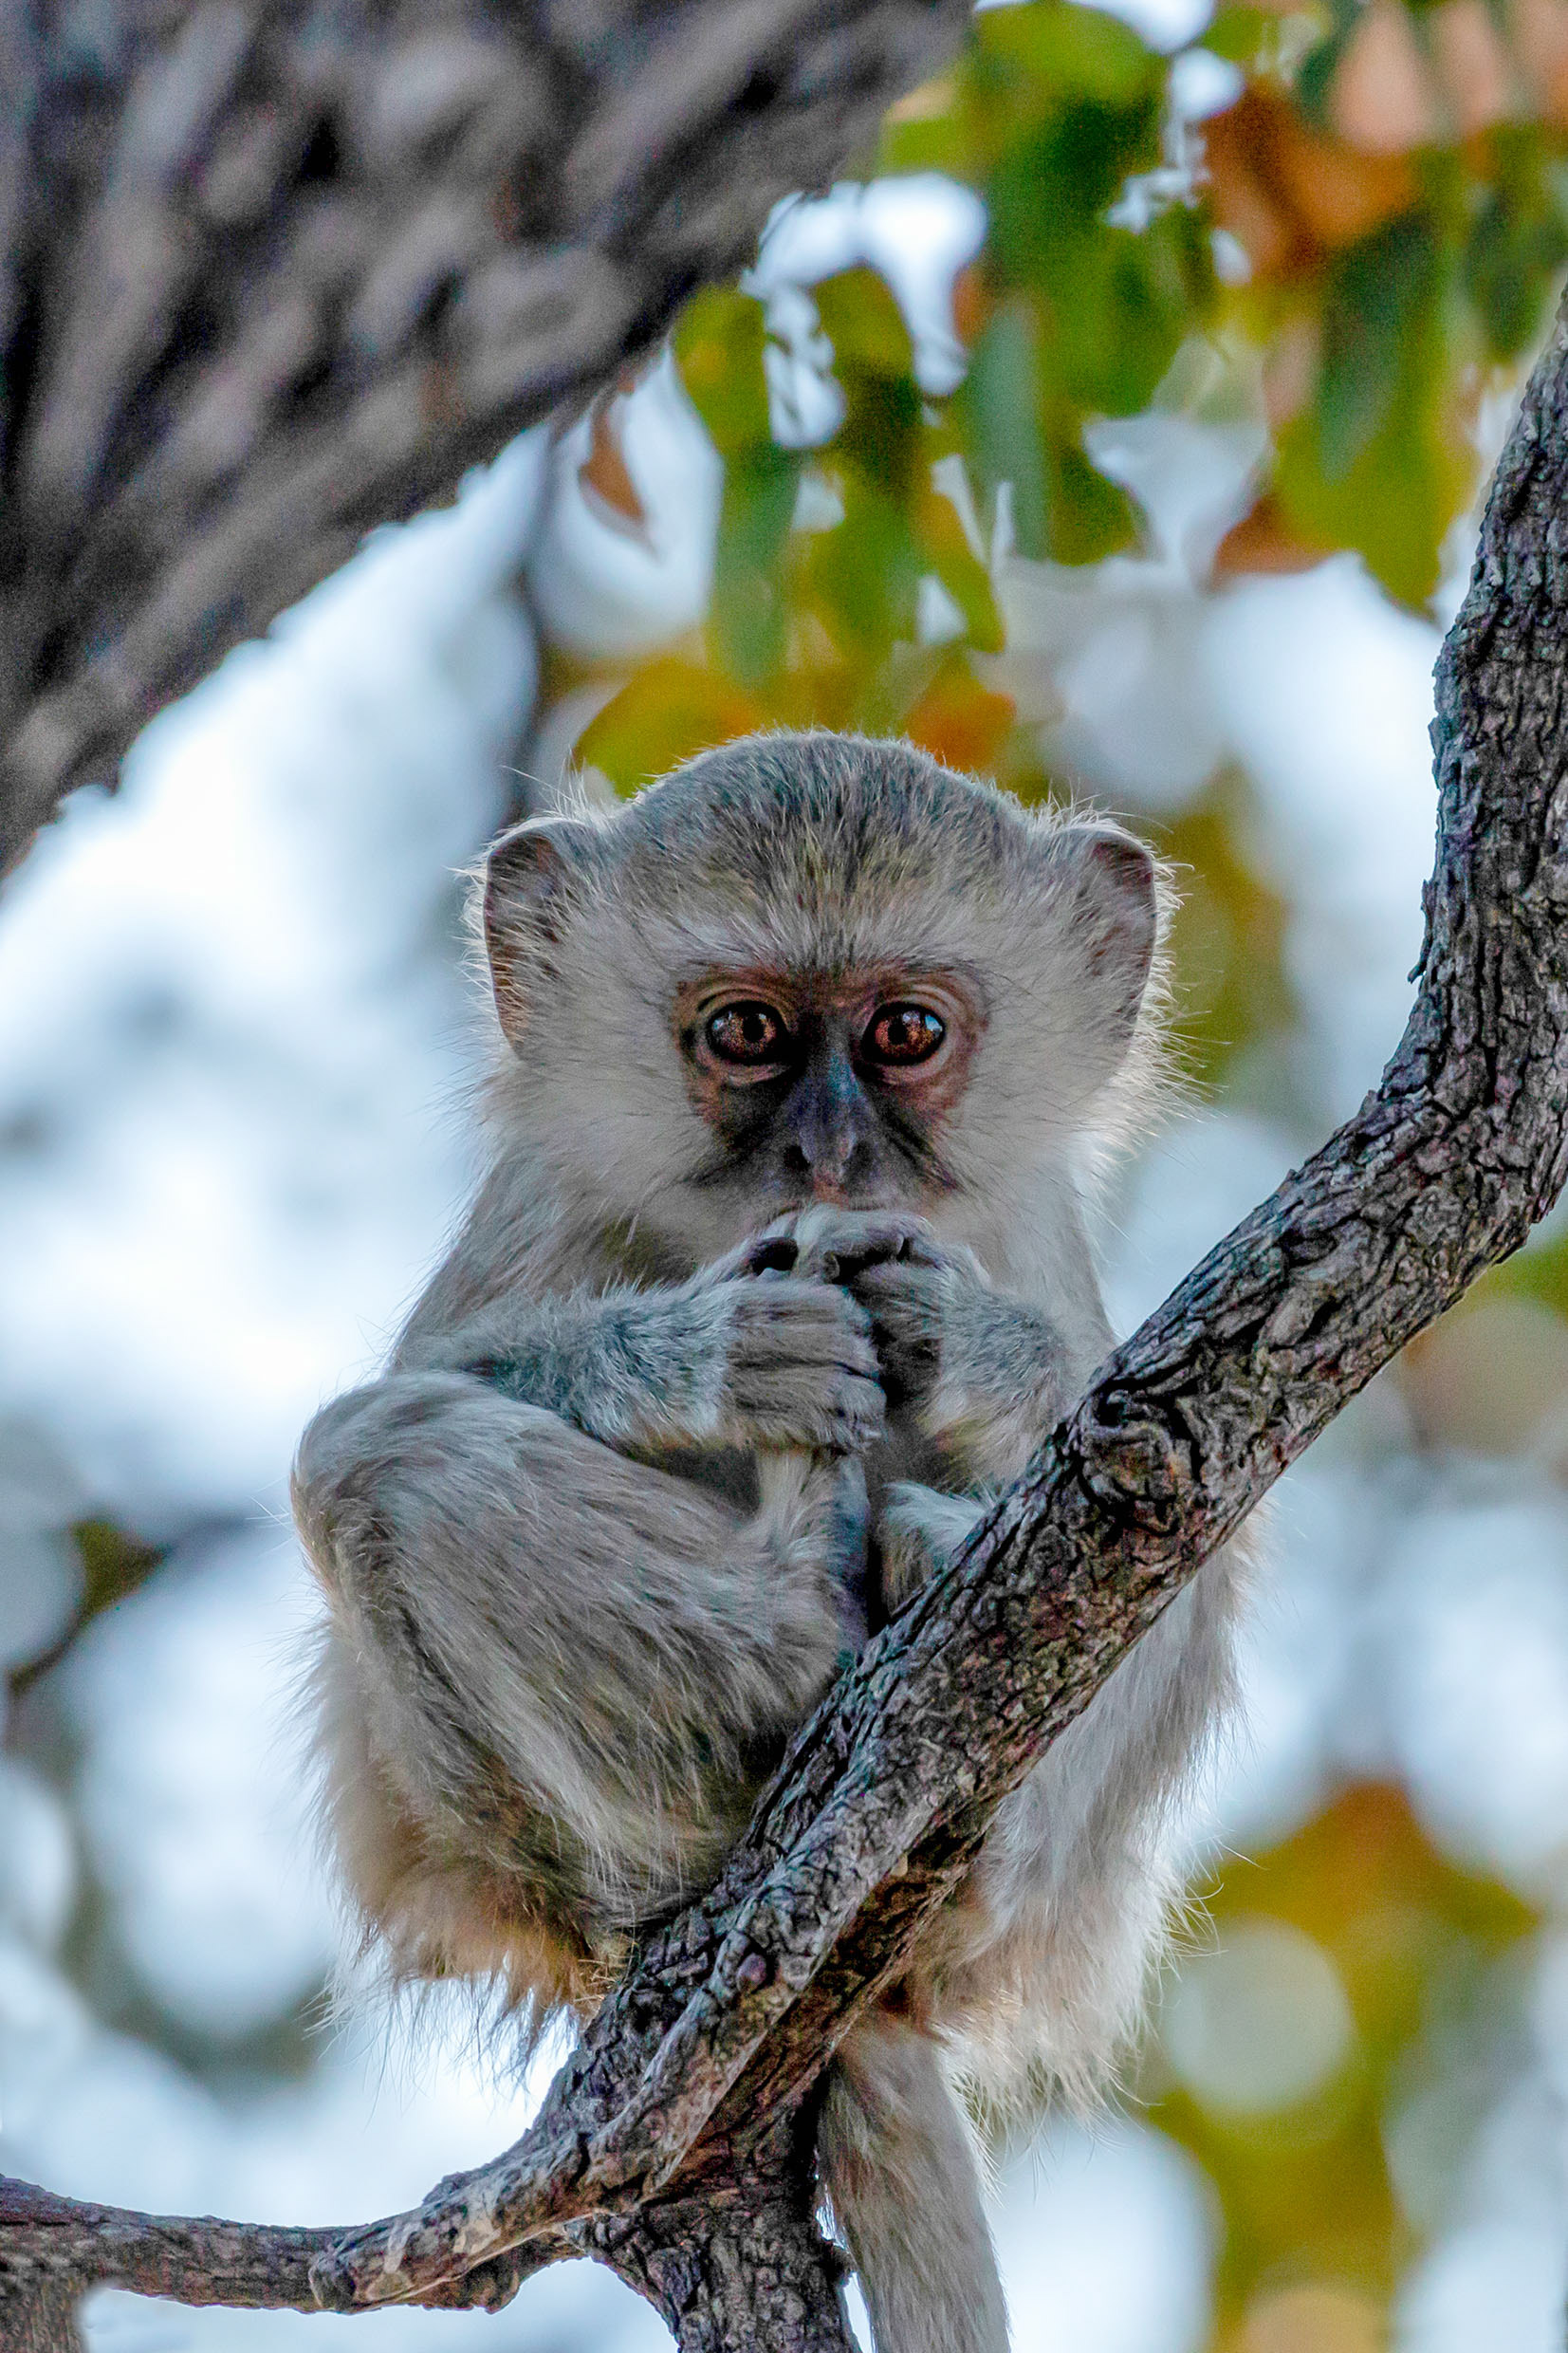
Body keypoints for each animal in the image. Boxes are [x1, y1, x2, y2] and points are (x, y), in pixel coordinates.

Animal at [291, 731, 1241, 2353]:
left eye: (905, 1032)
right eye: (744, 1031)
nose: (830, 1156)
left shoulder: (1025, 1225)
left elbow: (1149, 1435)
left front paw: (968, 1344)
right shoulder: (543, 1196)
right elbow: (446, 1378)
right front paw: (718, 1355)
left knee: (1189, 1536)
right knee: (369, 1466)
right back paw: (794, 1639)